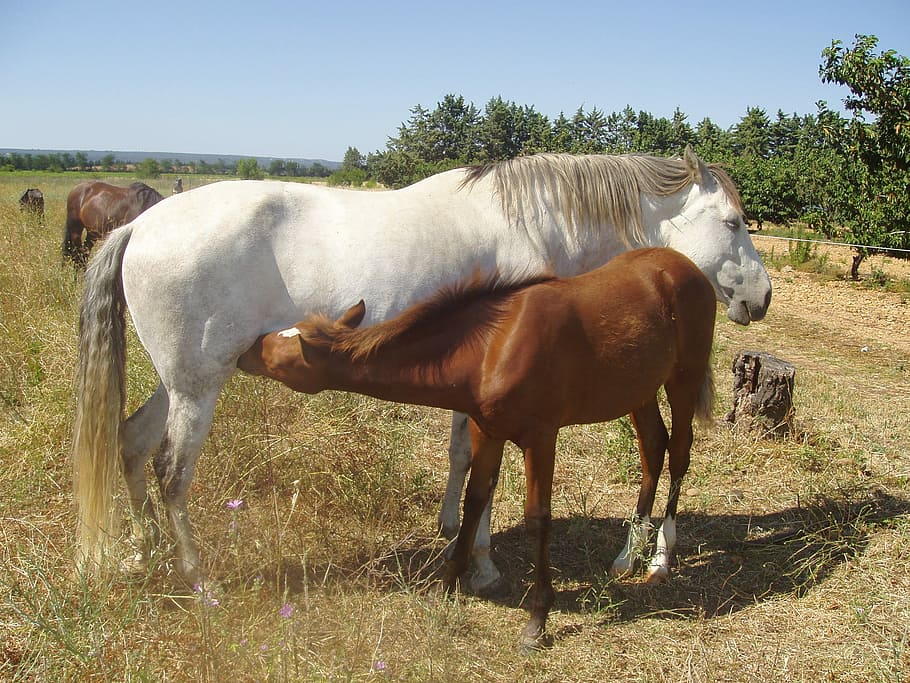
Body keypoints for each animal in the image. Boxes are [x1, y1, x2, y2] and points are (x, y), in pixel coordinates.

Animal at [72, 147, 770, 591]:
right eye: (734, 221)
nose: (760, 298)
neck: (534, 221)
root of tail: (139, 227)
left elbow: (464, 456)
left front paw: (455, 535)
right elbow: (486, 466)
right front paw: (483, 563)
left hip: (181, 384)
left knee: (131, 444)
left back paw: (145, 551)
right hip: (197, 389)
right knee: (170, 471)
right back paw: (196, 577)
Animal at [236, 247, 717, 650]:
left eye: (279, 356)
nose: (243, 351)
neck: (492, 347)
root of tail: (686, 266)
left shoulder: (541, 437)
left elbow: (537, 518)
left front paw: (537, 619)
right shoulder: (488, 432)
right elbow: (474, 500)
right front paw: (446, 586)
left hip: (683, 380)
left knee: (679, 454)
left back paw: (660, 559)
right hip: (639, 391)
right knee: (652, 448)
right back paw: (627, 554)